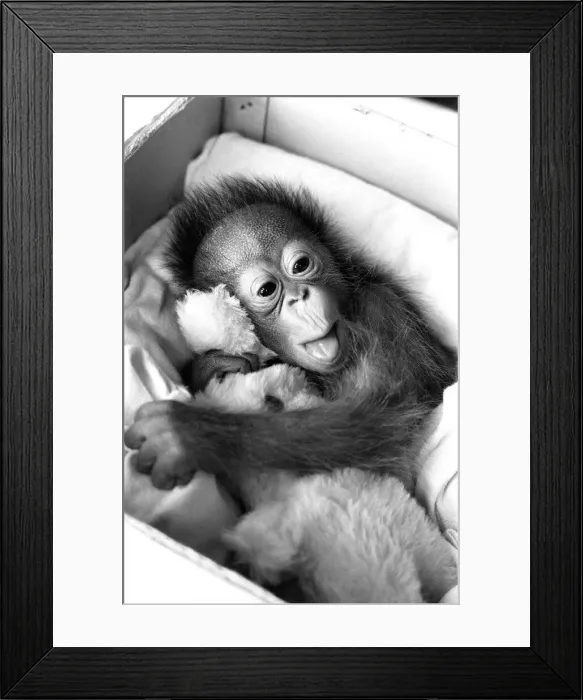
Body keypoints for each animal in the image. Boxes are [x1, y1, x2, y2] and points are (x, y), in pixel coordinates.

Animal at [124, 176, 457, 497]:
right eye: (267, 290)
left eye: (300, 265)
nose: (300, 297)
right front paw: (211, 367)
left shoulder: (383, 313)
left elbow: (379, 418)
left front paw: (191, 434)